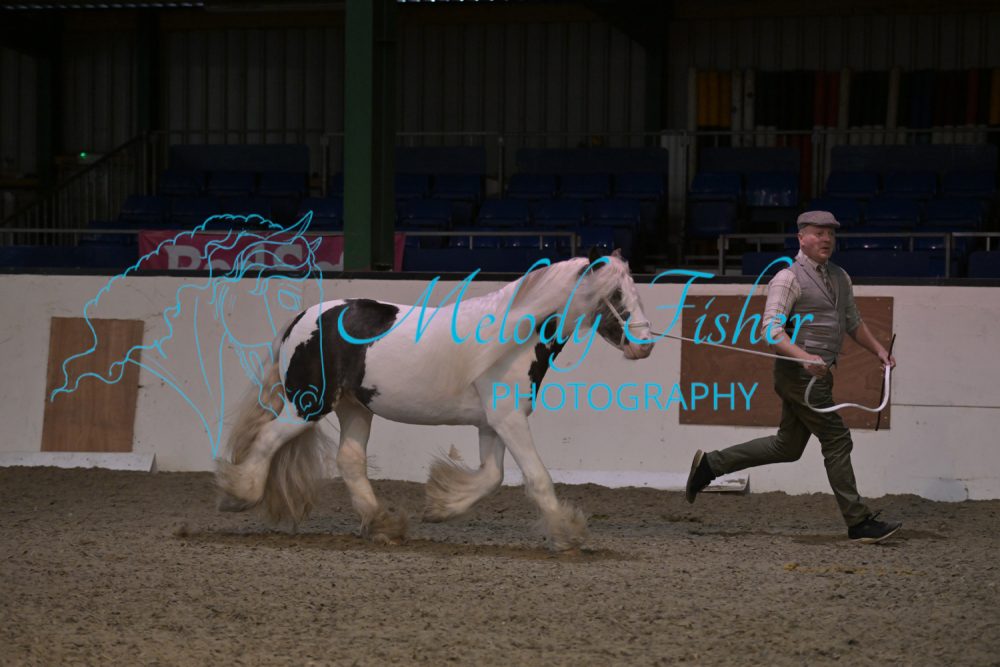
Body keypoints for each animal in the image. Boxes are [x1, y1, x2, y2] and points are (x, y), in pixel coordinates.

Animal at [215, 249, 655, 551]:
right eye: (616, 293)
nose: (645, 345)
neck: (515, 338)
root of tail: (302, 318)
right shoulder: (509, 419)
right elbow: (537, 477)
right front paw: (568, 533)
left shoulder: (491, 423)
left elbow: (492, 477)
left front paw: (441, 506)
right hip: (308, 404)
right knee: (268, 438)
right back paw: (240, 494)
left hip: (354, 407)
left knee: (350, 461)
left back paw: (383, 524)